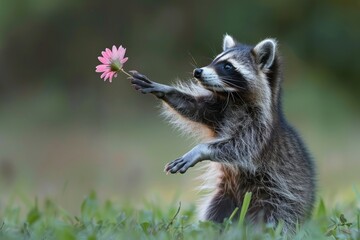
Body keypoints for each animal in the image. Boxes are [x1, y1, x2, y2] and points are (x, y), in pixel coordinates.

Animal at [129, 34, 316, 233]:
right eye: (214, 60)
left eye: (228, 66)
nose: (197, 72)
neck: (235, 98)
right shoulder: (219, 111)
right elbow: (194, 108)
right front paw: (166, 90)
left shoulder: (260, 128)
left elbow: (241, 147)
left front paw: (200, 149)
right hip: (224, 198)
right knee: (213, 216)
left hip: (279, 201)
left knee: (274, 222)